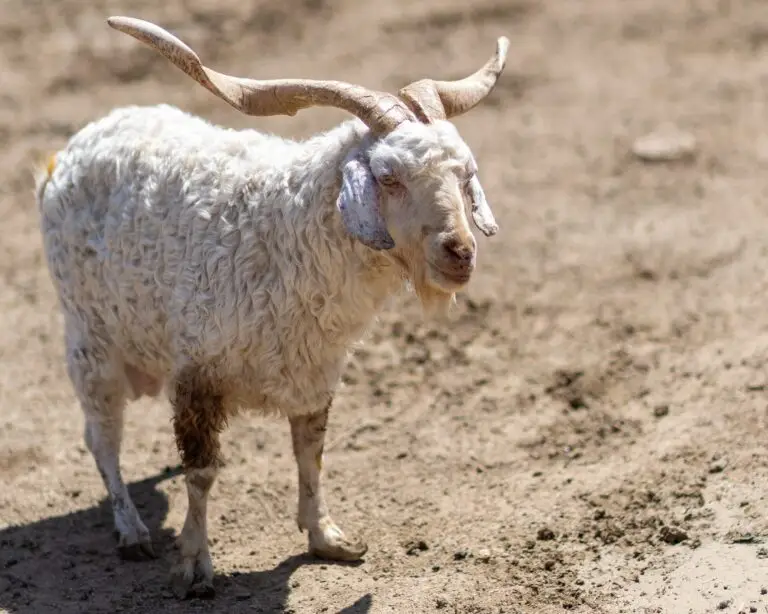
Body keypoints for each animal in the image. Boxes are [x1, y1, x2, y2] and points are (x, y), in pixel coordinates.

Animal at [36, 16, 508, 598]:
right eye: (388, 175)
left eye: (464, 175)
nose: (459, 253)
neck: (284, 230)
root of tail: (74, 146)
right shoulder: (198, 372)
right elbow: (201, 472)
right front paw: (193, 566)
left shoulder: (315, 371)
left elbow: (311, 453)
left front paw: (326, 538)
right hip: (89, 337)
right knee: (101, 437)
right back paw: (131, 531)